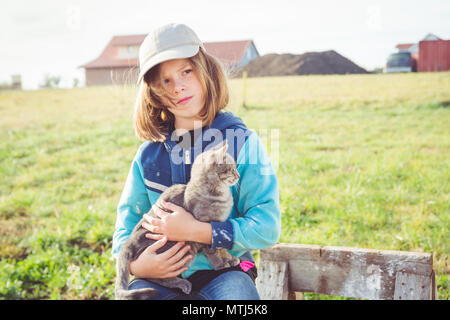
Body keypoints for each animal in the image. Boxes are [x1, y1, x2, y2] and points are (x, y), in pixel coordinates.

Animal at [116, 141, 243, 300]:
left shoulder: (218, 228)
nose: (238, 175)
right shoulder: (205, 227)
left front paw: (229, 258)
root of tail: (131, 241)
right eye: (231, 169)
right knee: (155, 276)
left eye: (235, 168)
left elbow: (222, 246)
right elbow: (213, 251)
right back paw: (182, 283)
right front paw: (220, 264)